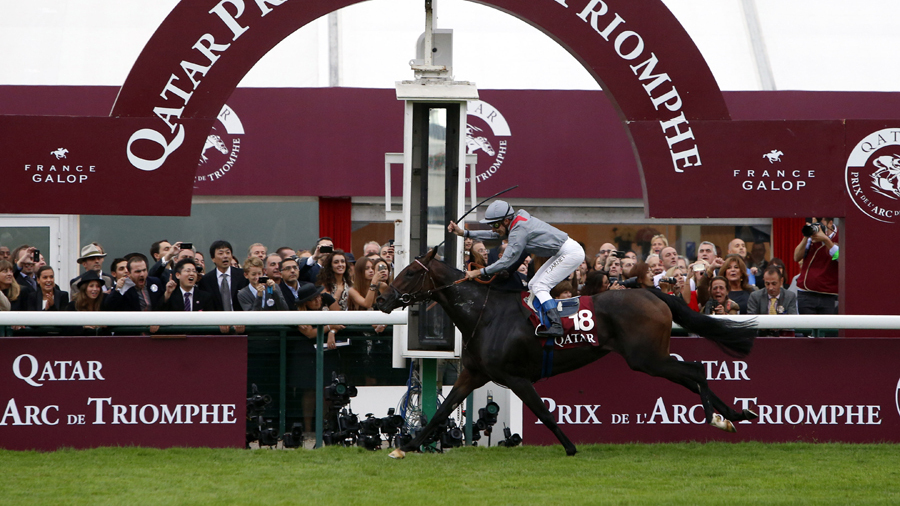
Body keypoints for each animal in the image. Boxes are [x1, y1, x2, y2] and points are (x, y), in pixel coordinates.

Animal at [374, 250, 760, 458]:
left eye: (411, 272)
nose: (382, 299)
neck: (485, 314)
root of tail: (651, 292)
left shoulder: (515, 376)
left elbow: (543, 411)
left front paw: (570, 447)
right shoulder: (473, 374)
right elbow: (440, 413)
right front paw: (405, 447)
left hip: (646, 358)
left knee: (695, 370)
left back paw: (717, 418)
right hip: (651, 357)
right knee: (691, 376)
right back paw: (735, 415)